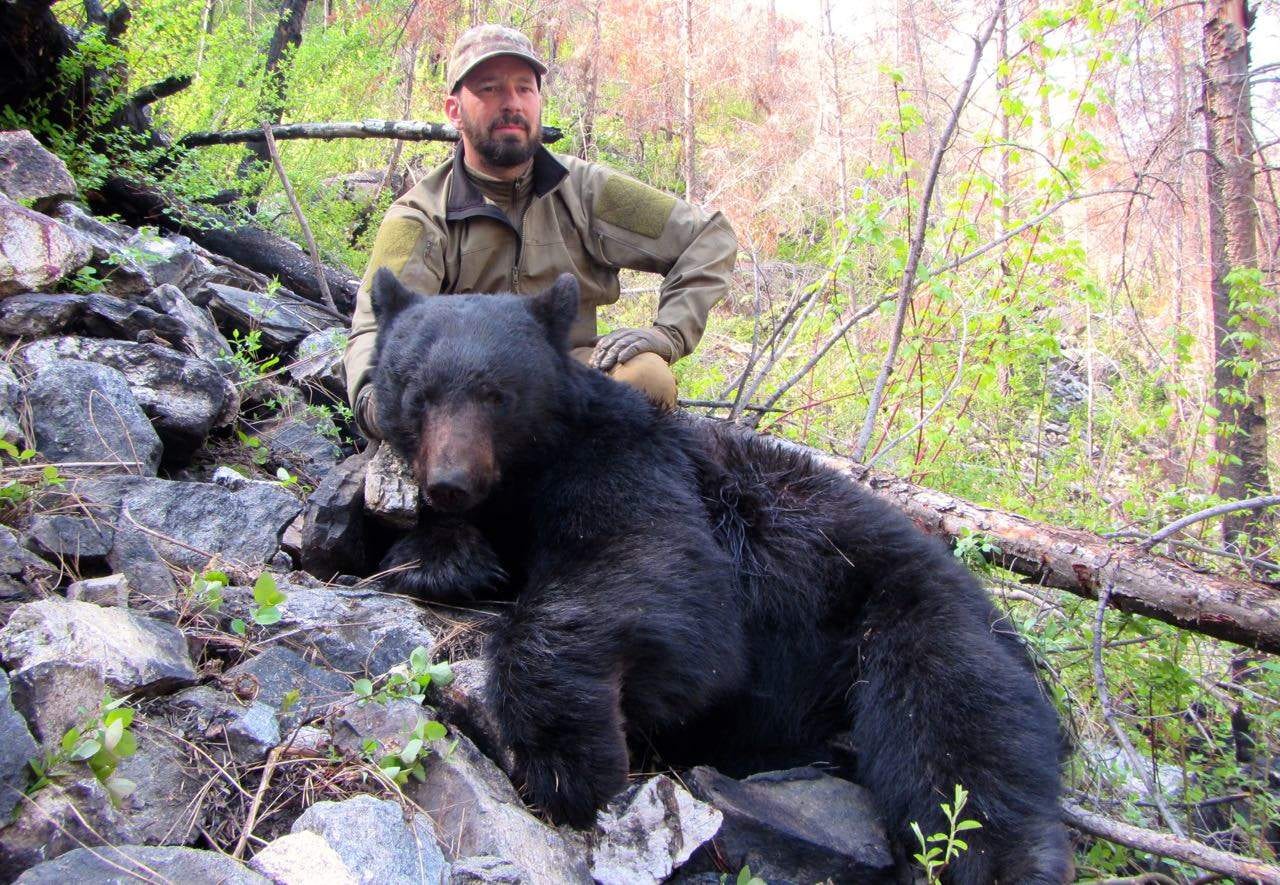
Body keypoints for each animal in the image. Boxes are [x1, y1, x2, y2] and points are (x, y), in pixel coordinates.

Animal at [367, 268, 1073, 884]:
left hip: (909, 614)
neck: (525, 481)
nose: (451, 481)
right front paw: (446, 558)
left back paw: (1008, 861)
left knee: (958, 738)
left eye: (496, 395)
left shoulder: (634, 462)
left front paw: (568, 754)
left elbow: (656, 565)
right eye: (418, 394)